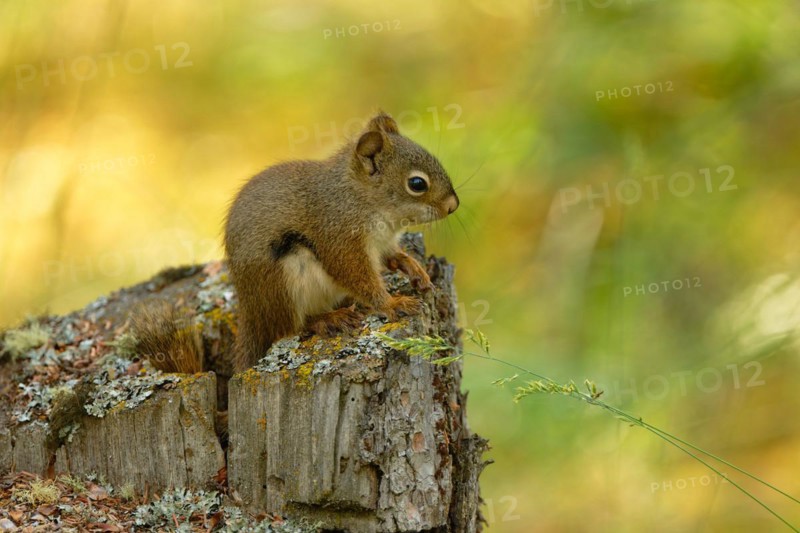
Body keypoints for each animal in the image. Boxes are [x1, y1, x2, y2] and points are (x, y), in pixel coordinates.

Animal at [133, 111, 459, 375]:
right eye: (417, 184)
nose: (453, 206)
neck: (360, 197)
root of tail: (251, 312)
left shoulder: (382, 243)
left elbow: (394, 257)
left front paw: (415, 270)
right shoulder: (340, 237)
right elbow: (358, 277)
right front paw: (392, 303)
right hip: (283, 281)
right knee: (287, 329)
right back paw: (327, 320)